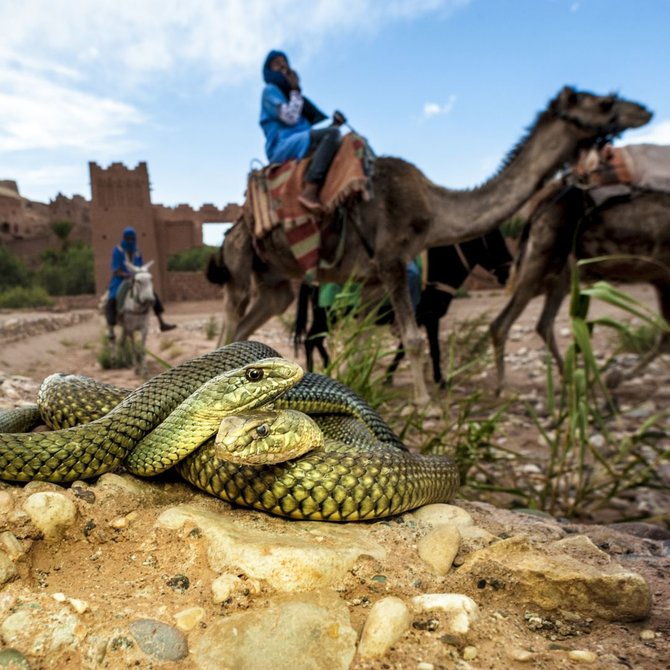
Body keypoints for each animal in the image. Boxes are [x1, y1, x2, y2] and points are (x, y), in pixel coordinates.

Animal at [488, 185, 670, 394]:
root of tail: (537, 212)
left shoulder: (662, 279)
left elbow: (665, 337)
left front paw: (617, 378)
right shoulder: (665, 277)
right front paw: (617, 378)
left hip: (557, 276)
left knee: (542, 323)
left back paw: (570, 380)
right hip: (542, 262)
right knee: (504, 323)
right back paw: (503, 387)